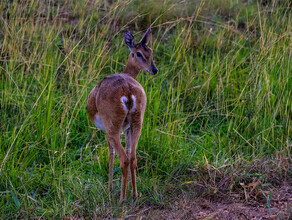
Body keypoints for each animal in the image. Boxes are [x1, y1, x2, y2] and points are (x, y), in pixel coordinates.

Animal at [86, 28, 157, 203]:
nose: (154, 70)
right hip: (137, 123)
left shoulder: (108, 132)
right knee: (133, 158)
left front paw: (110, 188)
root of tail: (128, 92)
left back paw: (121, 198)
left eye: (149, 52)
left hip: (113, 128)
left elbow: (110, 153)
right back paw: (134, 195)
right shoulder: (128, 129)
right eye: (140, 53)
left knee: (123, 159)